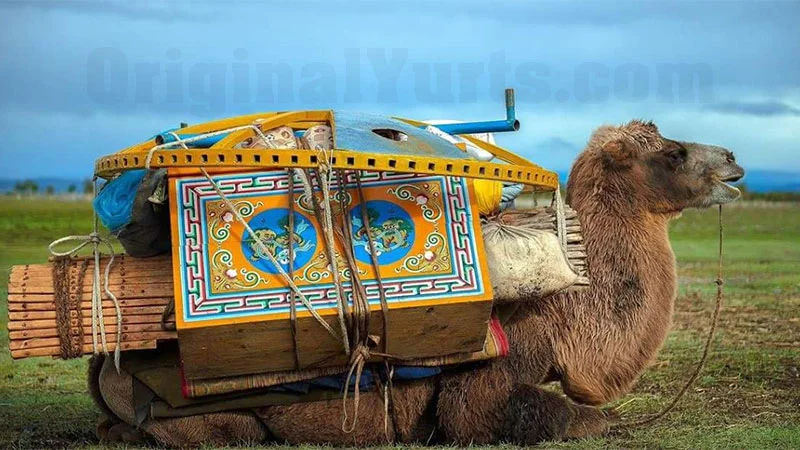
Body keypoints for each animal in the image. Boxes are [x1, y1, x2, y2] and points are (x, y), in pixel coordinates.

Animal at [89, 120, 744, 447]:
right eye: (673, 153)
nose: (735, 161)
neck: (568, 316)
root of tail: (104, 361)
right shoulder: (492, 383)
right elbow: (560, 418)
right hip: (217, 422)